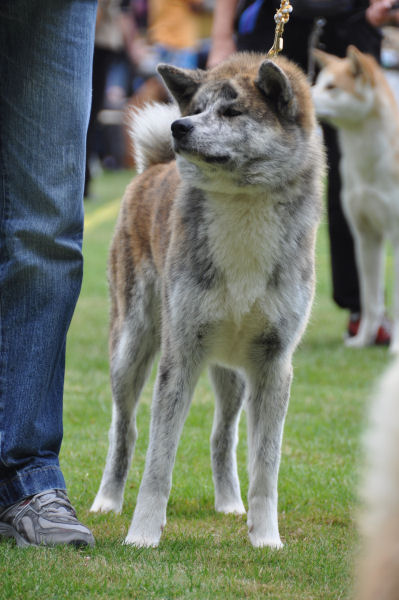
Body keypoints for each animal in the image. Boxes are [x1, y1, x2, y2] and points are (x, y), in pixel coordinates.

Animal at [90, 52, 324, 548]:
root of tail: (153, 168)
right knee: (125, 429)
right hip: (131, 347)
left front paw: (266, 538)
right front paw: (143, 535)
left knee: (223, 435)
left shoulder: (274, 364)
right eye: (197, 108)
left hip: (231, 372)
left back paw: (230, 504)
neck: (243, 205)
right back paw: (108, 501)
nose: (178, 126)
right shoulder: (180, 354)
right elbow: (158, 461)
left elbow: (266, 467)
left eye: (232, 112)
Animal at [314, 48, 399, 356]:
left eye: (332, 87)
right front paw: (363, 340)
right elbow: (370, 300)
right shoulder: (364, 236)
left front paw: (396, 347)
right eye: (317, 82)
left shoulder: (395, 237)